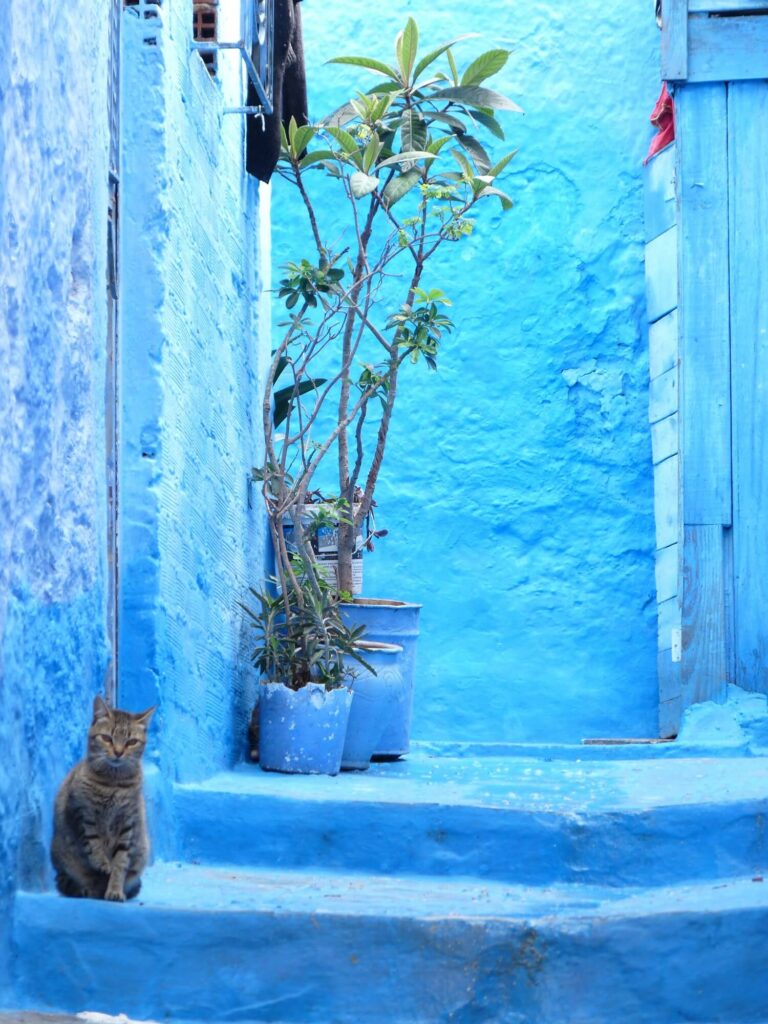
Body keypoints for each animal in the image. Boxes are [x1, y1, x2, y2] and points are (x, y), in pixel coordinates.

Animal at [51, 696, 156, 905]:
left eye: (131, 742)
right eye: (107, 738)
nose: (118, 752)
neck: (113, 784)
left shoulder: (128, 823)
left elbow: (121, 863)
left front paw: (115, 889)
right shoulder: (81, 812)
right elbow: (93, 842)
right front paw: (101, 862)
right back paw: (88, 889)